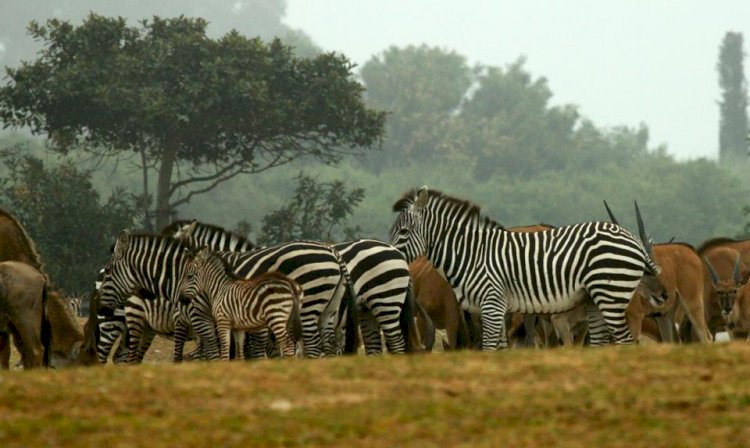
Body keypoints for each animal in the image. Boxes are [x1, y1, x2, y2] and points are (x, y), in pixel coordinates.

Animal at [98, 231, 356, 360]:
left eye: (108, 271)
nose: (102, 309)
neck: (179, 273)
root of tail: (332, 252)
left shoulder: (199, 317)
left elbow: (212, 352)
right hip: (328, 309)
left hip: (308, 305)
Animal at [167, 220, 432, 354]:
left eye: (177, 258)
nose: (180, 301)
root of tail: (397, 253)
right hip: (368, 310)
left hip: (383, 301)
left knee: (396, 342)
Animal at [390, 186, 668, 350]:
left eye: (403, 232)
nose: (391, 257)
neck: (473, 254)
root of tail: (631, 238)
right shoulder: (496, 310)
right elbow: (500, 350)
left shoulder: (491, 305)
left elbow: (489, 348)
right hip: (595, 301)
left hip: (611, 296)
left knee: (626, 342)